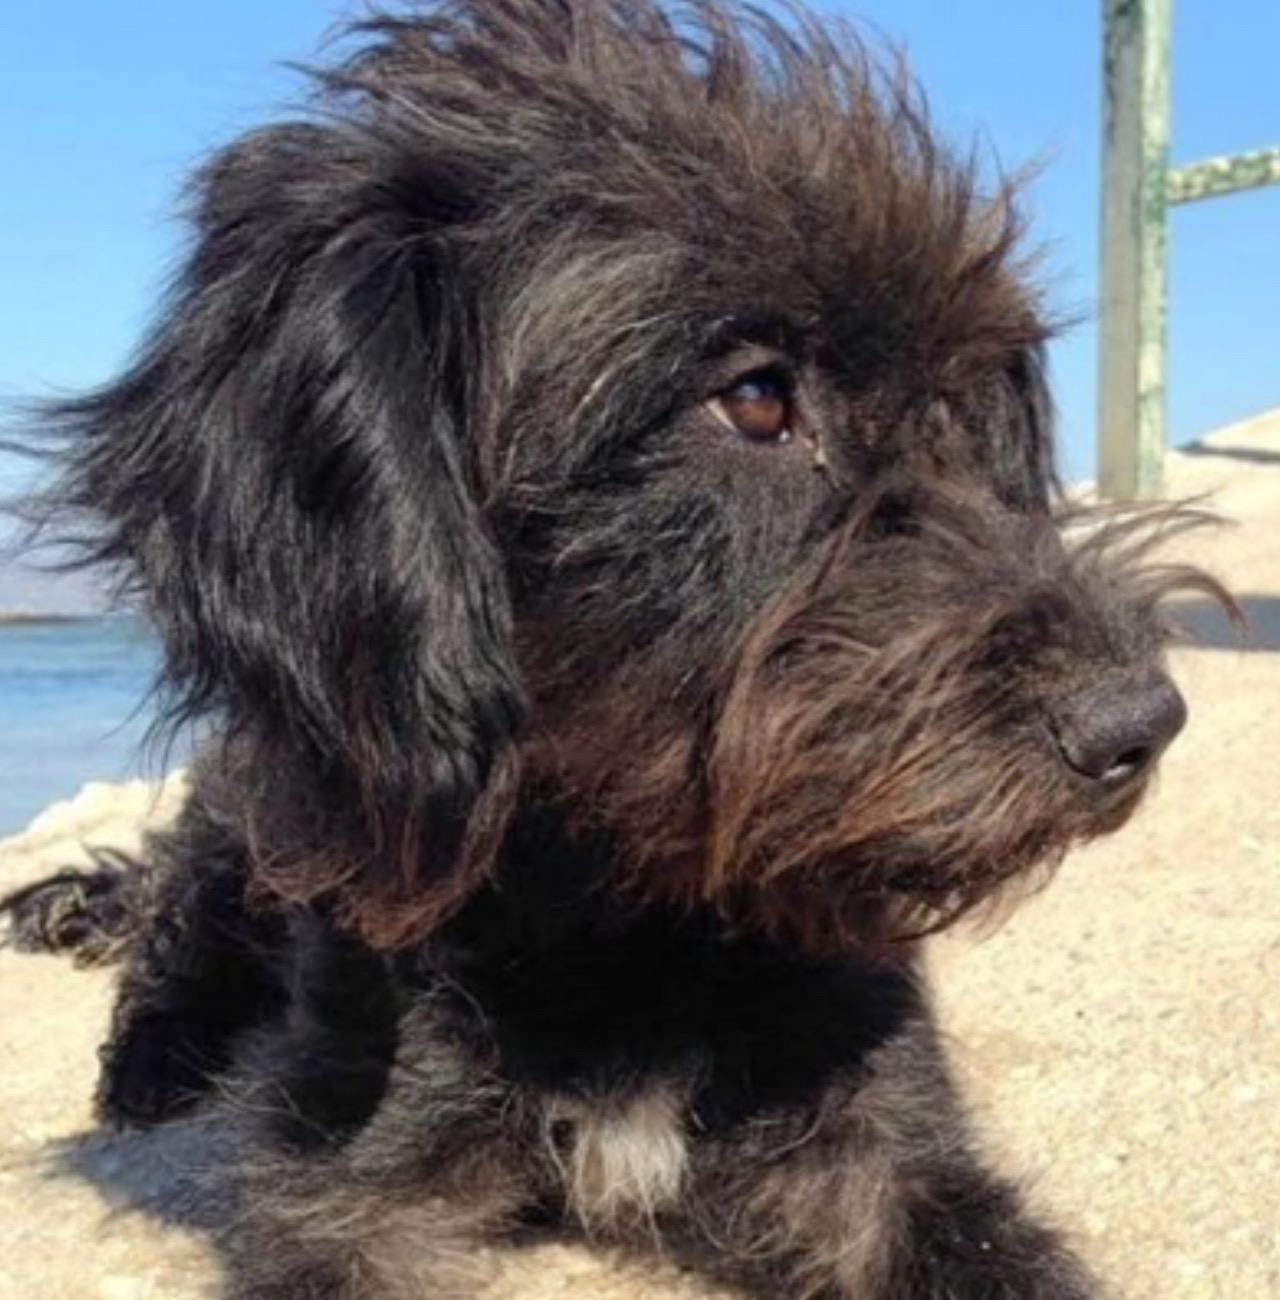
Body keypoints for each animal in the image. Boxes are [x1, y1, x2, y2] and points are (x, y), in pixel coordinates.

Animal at [0, 2, 1216, 1300]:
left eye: (956, 401)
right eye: (753, 398)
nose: (1136, 722)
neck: (631, 920)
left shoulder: (883, 1144)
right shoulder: (348, 1184)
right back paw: (156, 1057)